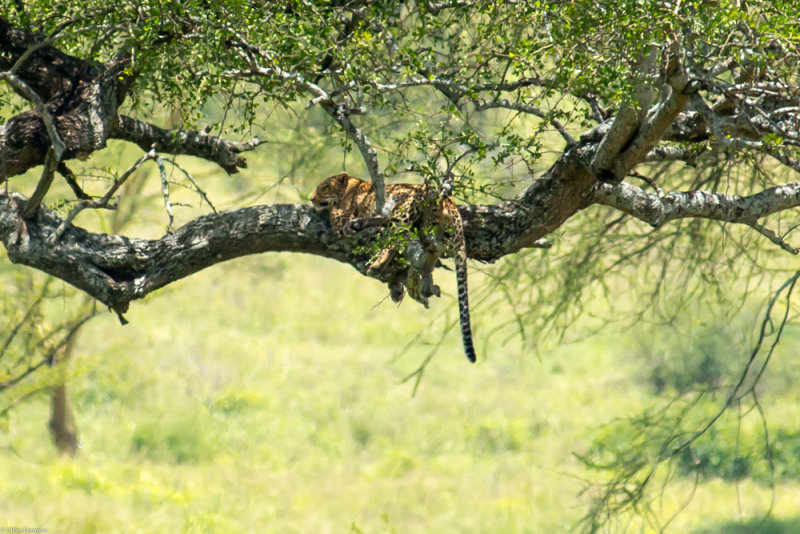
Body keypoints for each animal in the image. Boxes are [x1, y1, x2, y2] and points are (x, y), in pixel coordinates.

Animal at [310, 172, 476, 364]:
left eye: (324, 187)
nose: (311, 198)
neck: (350, 186)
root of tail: (448, 199)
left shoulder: (340, 217)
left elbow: (336, 217)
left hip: (404, 212)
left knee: (394, 237)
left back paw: (375, 260)